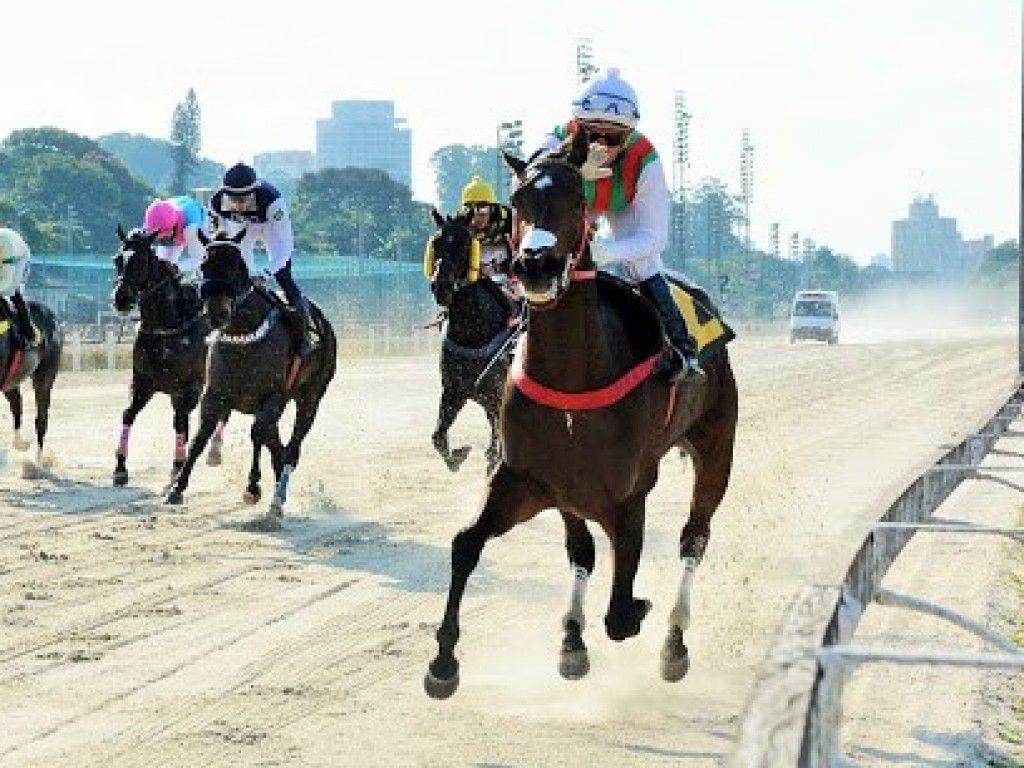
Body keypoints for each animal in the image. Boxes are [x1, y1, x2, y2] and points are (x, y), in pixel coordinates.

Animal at [111, 224, 225, 487]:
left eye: (141, 259)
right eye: (117, 259)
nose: (121, 298)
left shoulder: (190, 387)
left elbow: (181, 421)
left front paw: (177, 467)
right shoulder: (143, 383)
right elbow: (128, 414)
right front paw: (120, 468)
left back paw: (214, 450)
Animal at [163, 230, 337, 528]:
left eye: (235, 265)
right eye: (204, 264)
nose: (217, 313)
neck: (244, 339)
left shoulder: (273, 397)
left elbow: (256, 434)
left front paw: (253, 488)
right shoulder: (214, 395)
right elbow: (200, 436)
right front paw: (176, 489)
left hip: (310, 398)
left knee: (291, 446)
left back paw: (277, 500)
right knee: (277, 444)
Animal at [425, 208, 520, 475]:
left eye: (466, 243)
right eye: (437, 242)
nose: (442, 286)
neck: (473, 335)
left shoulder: (499, 395)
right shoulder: (453, 391)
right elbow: (438, 437)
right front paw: (459, 455)